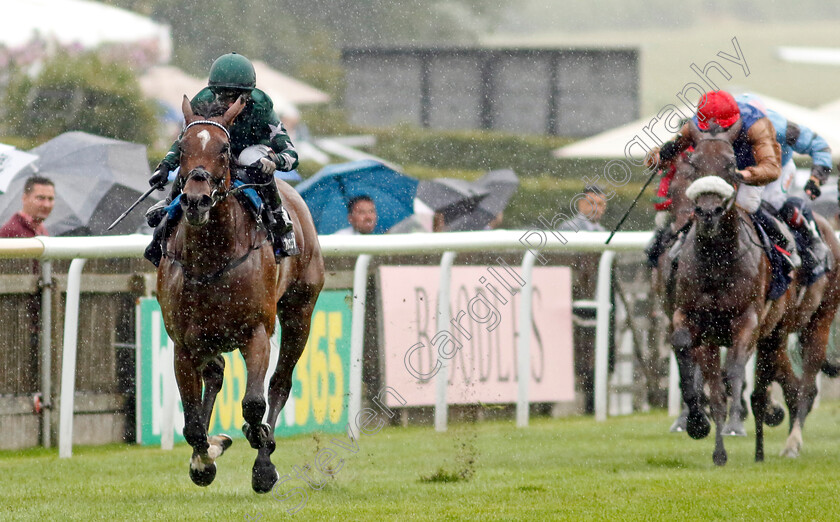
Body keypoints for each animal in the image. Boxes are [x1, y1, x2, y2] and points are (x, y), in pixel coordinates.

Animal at [158, 95, 324, 490]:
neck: (210, 258)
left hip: (300, 312)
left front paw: (262, 458)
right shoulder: (183, 344)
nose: (196, 200)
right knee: (216, 374)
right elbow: (192, 426)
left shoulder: (256, 333)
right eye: (182, 147)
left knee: (279, 382)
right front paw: (204, 459)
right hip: (208, 337)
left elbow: (253, 403)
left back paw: (263, 446)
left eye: (224, 147)